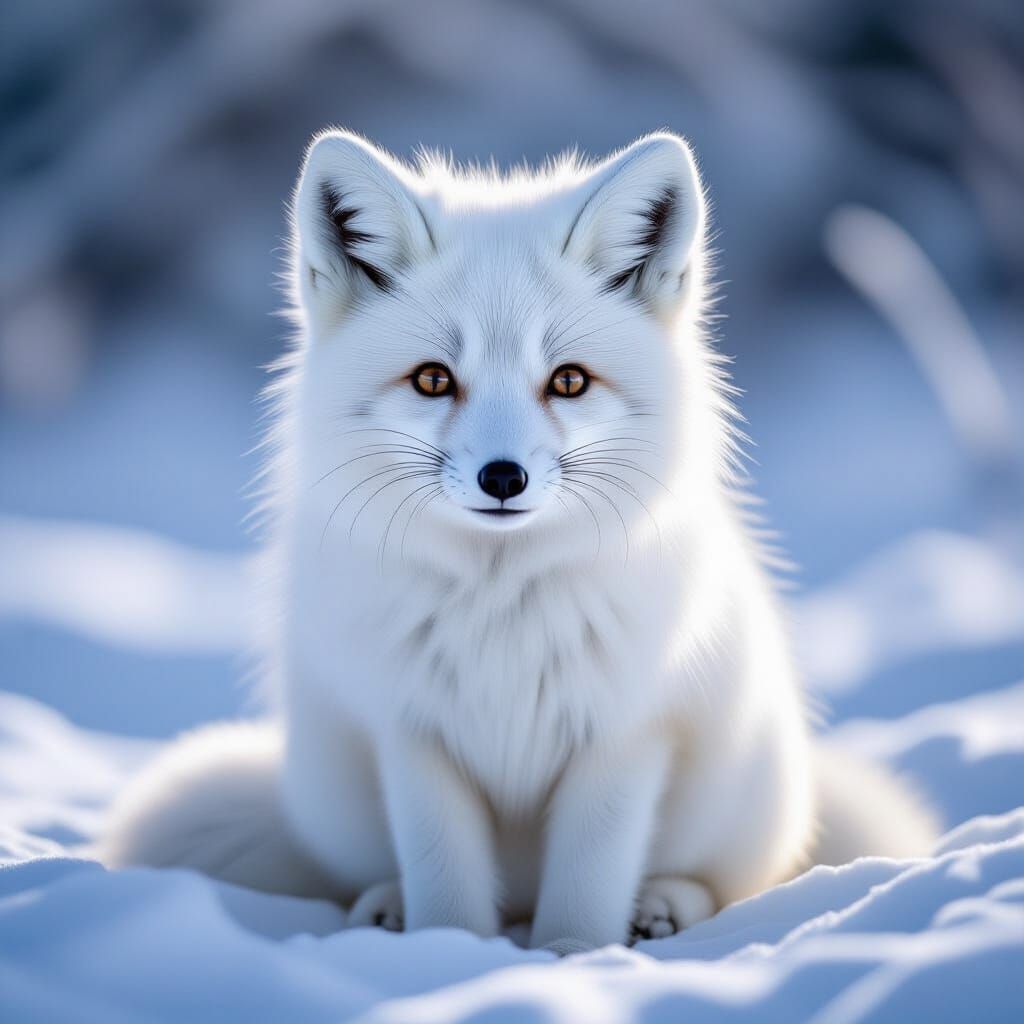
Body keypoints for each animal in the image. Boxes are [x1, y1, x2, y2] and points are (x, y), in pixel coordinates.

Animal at [101, 130, 939, 951]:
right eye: (433, 380)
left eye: (568, 381)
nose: (503, 477)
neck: (500, 609)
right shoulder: (412, 734)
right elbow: (443, 876)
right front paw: (446, 953)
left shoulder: (625, 736)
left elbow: (589, 879)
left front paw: (569, 956)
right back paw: (389, 909)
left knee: (722, 882)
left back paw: (658, 910)